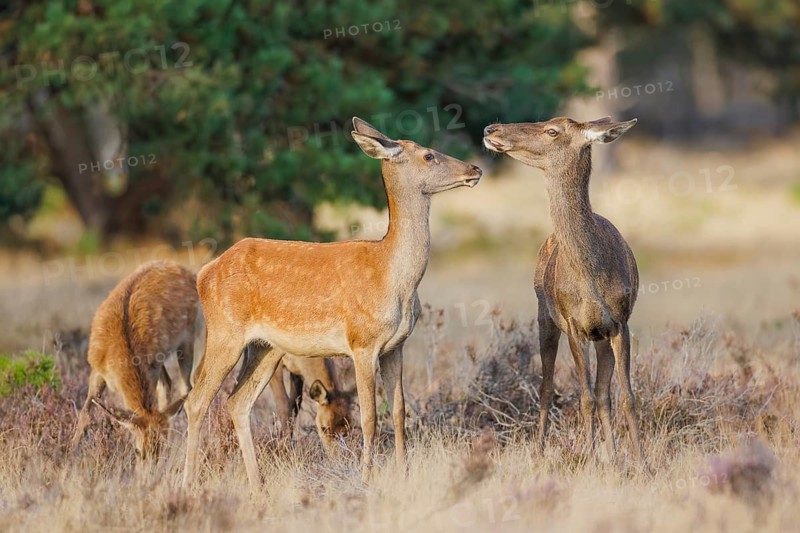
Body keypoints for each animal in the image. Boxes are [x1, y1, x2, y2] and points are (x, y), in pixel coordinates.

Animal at [70, 260, 199, 461]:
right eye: (138, 451)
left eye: (158, 451)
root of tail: (187, 271)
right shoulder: (96, 368)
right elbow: (85, 412)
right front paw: (70, 452)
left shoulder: (150, 367)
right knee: (169, 383)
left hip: (188, 335)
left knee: (185, 387)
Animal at [181, 117, 482, 488]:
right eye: (428, 155)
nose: (474, 168)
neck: (392, 276)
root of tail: (204, 273)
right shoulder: (361, 341)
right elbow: (370, 416)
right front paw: (367, 478)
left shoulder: (396, 345)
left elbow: (399, 411)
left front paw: (403, 472)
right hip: (225, 332)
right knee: (196, 400)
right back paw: (188, 484)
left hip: (266, 347)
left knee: (237, 401)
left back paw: (258, 485)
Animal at [483, 116, 643, 464]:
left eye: (552, 131)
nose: (491, 129)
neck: (592, 277)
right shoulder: (573, 325)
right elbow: (583, 397)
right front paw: (590, 459)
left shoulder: (620, 322)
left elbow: (625, 396)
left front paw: (640, 462)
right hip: (545, 316)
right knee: (546, 388)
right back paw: (540, 451)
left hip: (600, 335)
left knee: (603, 394)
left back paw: (611, 455)